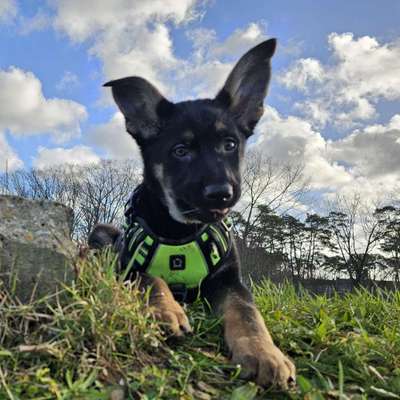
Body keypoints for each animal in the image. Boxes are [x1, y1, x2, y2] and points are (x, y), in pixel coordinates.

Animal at [91, 39, 296, 390]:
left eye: (230, 144)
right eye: (180, 151)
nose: (221, 193)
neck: (180, 230)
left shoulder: (230, 280)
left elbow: (247, 312)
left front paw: (264, 353)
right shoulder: (126, 266)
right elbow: (150, 278)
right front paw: (165, 312)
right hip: (103, 234)